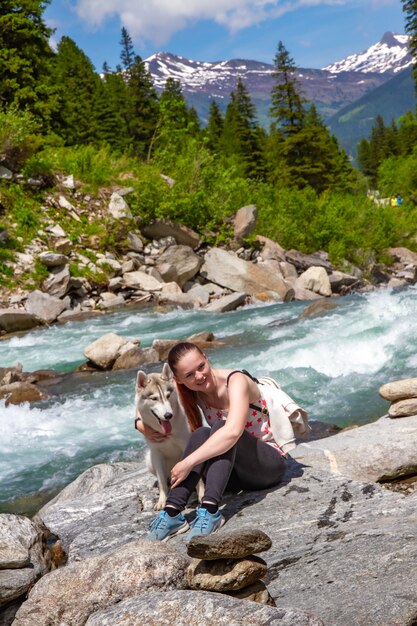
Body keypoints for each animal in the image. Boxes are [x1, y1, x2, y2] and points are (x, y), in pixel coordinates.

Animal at [136, 364, 202, 510]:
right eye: (154, 398)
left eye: (168, 395)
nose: (168, 415)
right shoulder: (156, 453)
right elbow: (161, 482)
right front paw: (162, 500)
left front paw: (201, 493)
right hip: (149, 460)